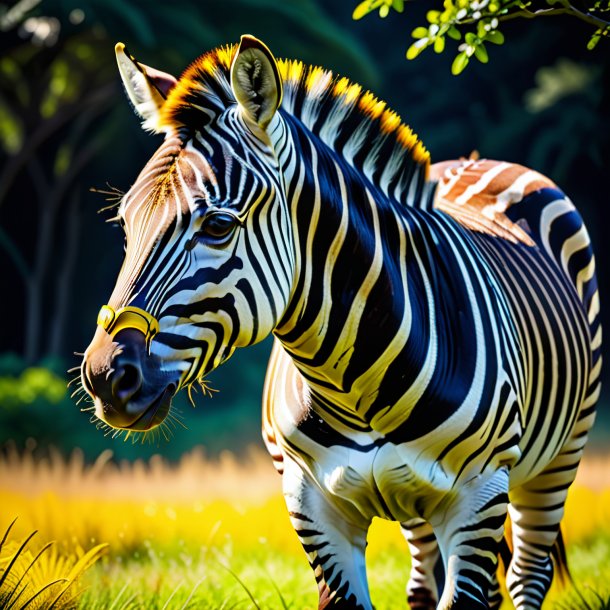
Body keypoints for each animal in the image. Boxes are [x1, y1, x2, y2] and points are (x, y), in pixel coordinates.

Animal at [79, 35, 600, 604]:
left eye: (217, 225)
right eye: (125, 223)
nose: (105, 376)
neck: (356, 385)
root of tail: (477, 160)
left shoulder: (479, 495)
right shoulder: (312, 505)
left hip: (557, 459)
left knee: (528, 574)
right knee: (425, 582)